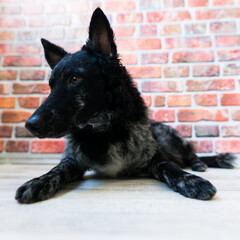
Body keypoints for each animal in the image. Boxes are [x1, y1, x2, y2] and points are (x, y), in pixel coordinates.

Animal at [15, 7, 234, 203]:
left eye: (74, 79)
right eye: (51, 86)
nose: (30, 125)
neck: (104, 130)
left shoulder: (157, 157)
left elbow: (170, 168)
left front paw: (191, 180)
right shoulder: (72, 160)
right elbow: (58, 169)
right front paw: (39, 181)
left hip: (170, 139)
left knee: (190, 155)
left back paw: (199, 164)